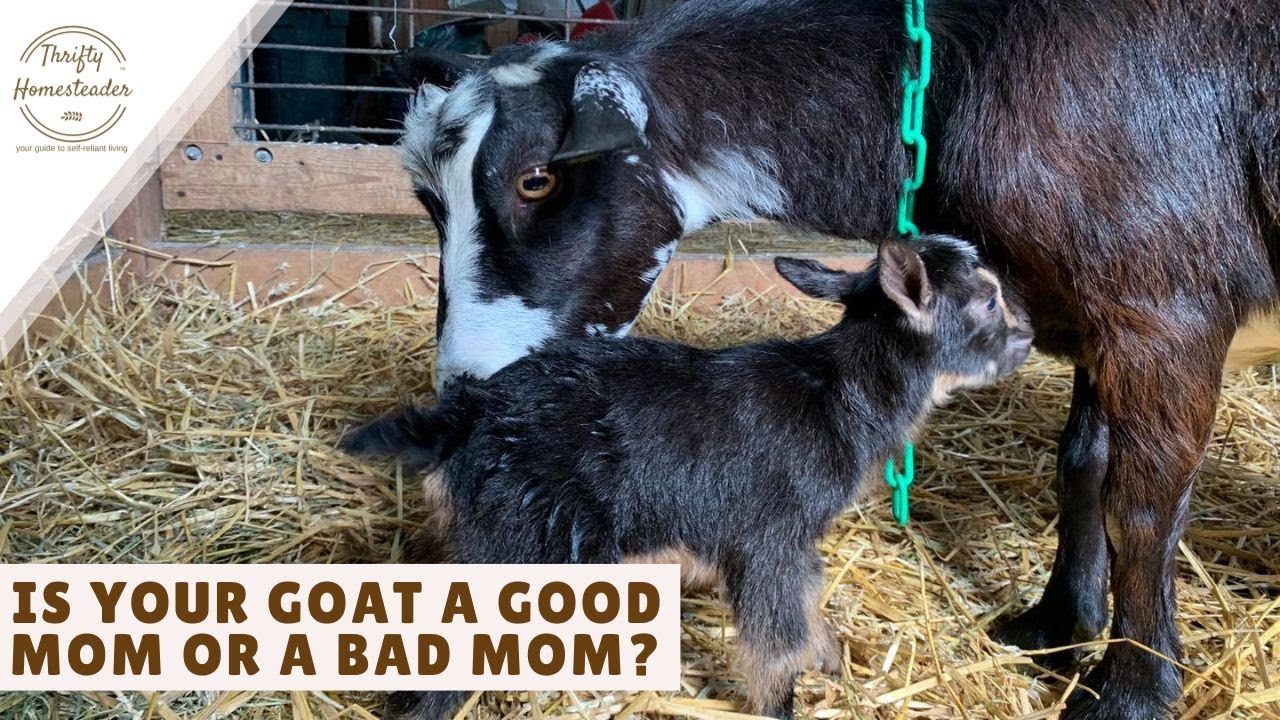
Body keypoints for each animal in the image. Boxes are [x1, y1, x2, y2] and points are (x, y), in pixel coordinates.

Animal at [345, 237, 1034, 719]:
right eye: (987, 299)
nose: (1027, 337)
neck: (838, 395)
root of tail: (470, 415)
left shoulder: (795, 542)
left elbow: (808, 601)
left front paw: (830, 660)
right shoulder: (768, 537)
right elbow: (774, 638)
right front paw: (781, 704)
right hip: (520, 538)